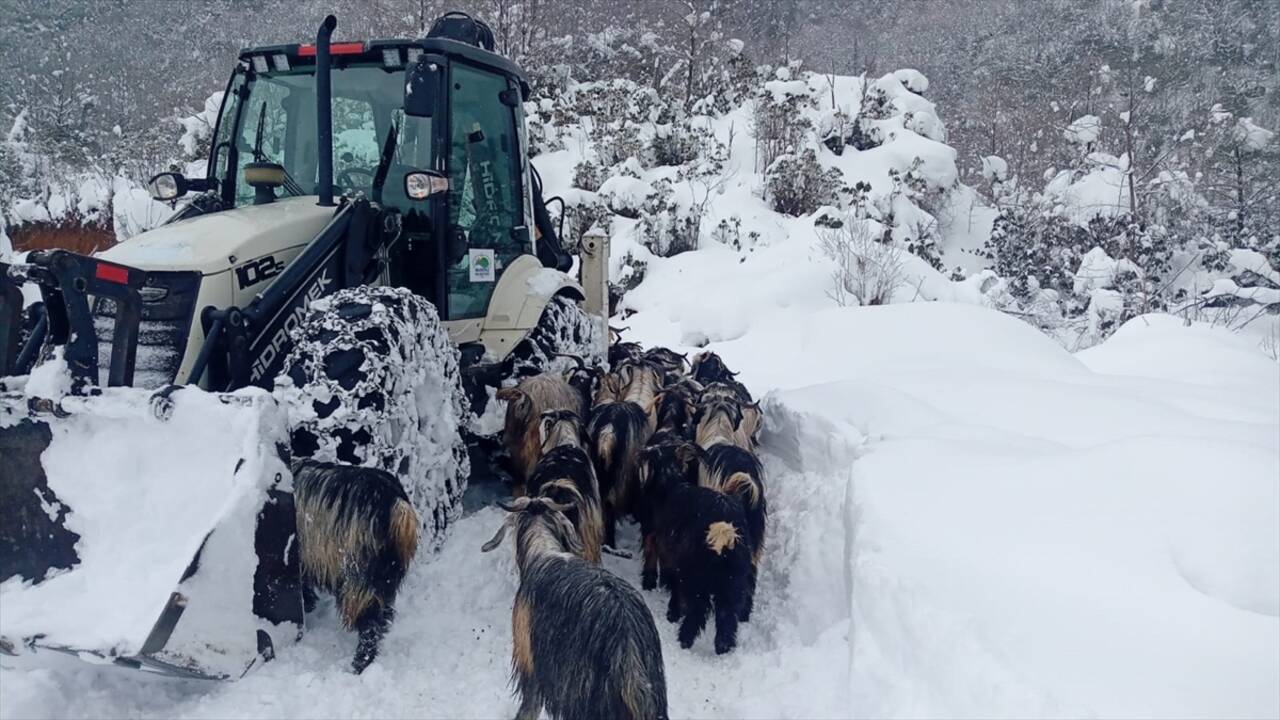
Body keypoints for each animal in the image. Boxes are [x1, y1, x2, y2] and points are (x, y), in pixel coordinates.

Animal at [291, 456, 419, 671]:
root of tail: (396, 503)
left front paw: (308, 604)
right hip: (387, 573)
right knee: (382, 613)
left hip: (358, 573)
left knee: (369, 622)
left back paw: (359, 663)